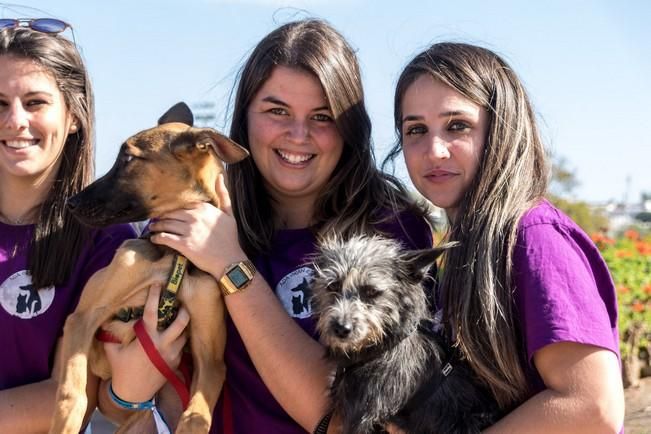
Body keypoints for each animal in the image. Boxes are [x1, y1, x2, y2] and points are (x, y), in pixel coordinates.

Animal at [50, 103, 250, 432]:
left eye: (128, 158)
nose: (71, 203)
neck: (174, 257)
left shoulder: (211, 360)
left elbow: (197, 416)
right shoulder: (82, 318)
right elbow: (72, 395)